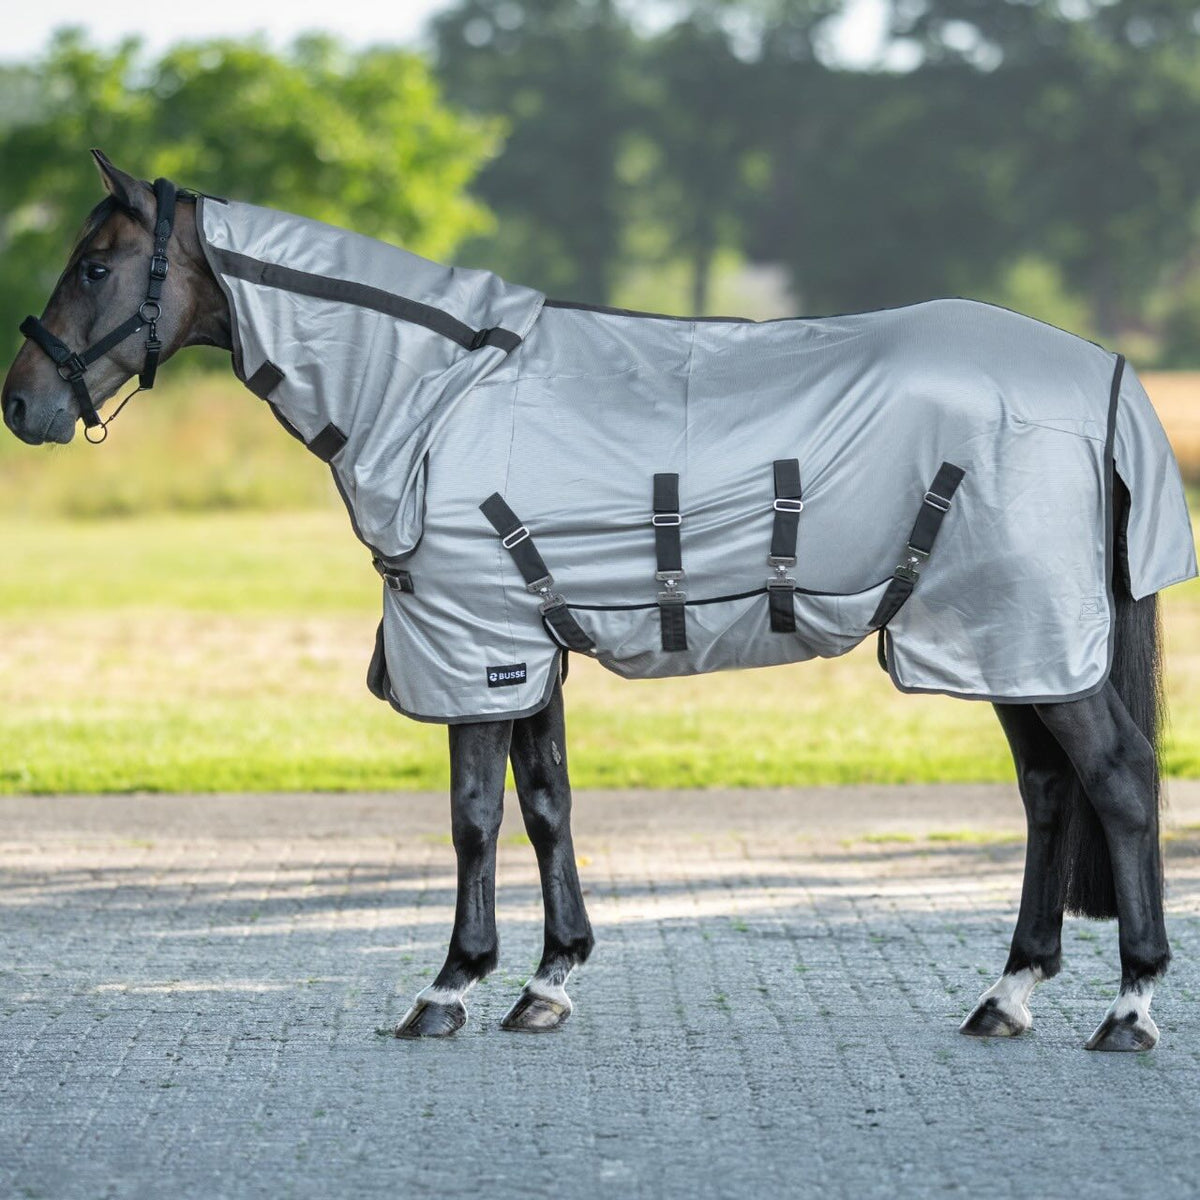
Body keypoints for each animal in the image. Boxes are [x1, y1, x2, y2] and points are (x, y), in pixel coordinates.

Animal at [3, 150, 1193, 1051]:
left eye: (97, 264)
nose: (24, 405)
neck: (432, 396)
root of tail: (1103, 375)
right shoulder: (525, 649)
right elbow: (547, 804)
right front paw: (547, 981)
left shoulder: (474, 646)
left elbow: (474, 818)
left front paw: (450, 987)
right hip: (1000, 641)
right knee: (1049, 793)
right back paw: (1008, 995)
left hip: (1028, 634)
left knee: (1119, 780)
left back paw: (1129, 1008)